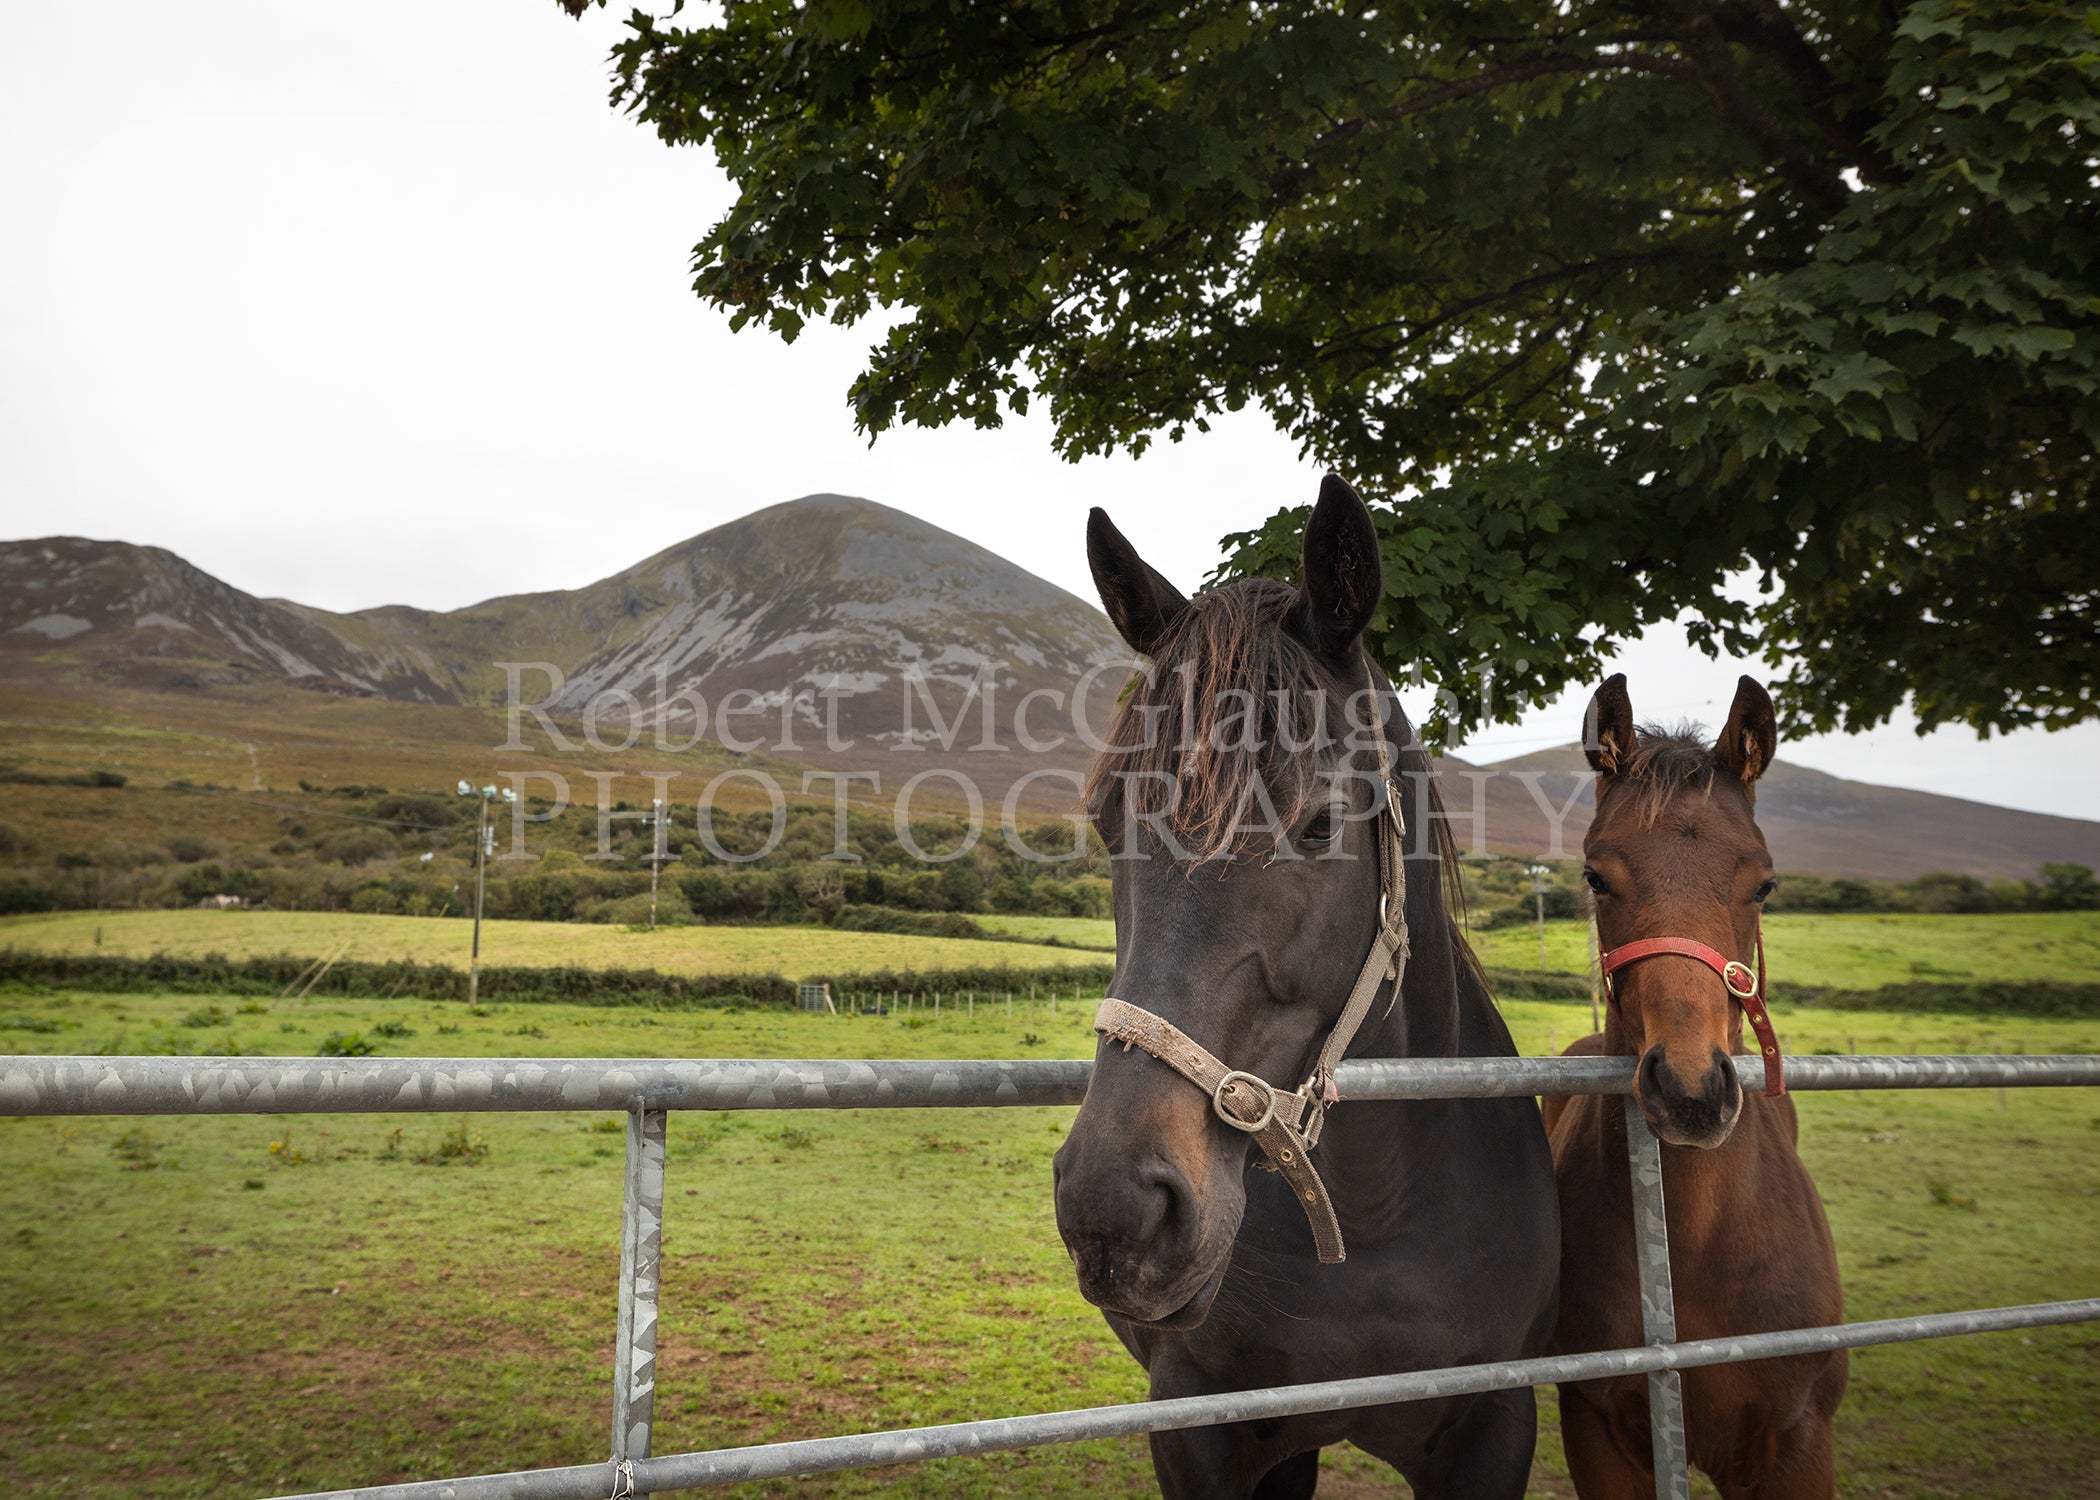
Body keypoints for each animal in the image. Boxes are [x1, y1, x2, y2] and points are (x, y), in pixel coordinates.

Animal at [1051, 475, 1561, 1499]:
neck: (1375, 1216)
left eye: (1320, 822)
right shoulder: (1204, 1435)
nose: (1114, 1210)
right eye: (1107, 820)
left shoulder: (1497, 1424)